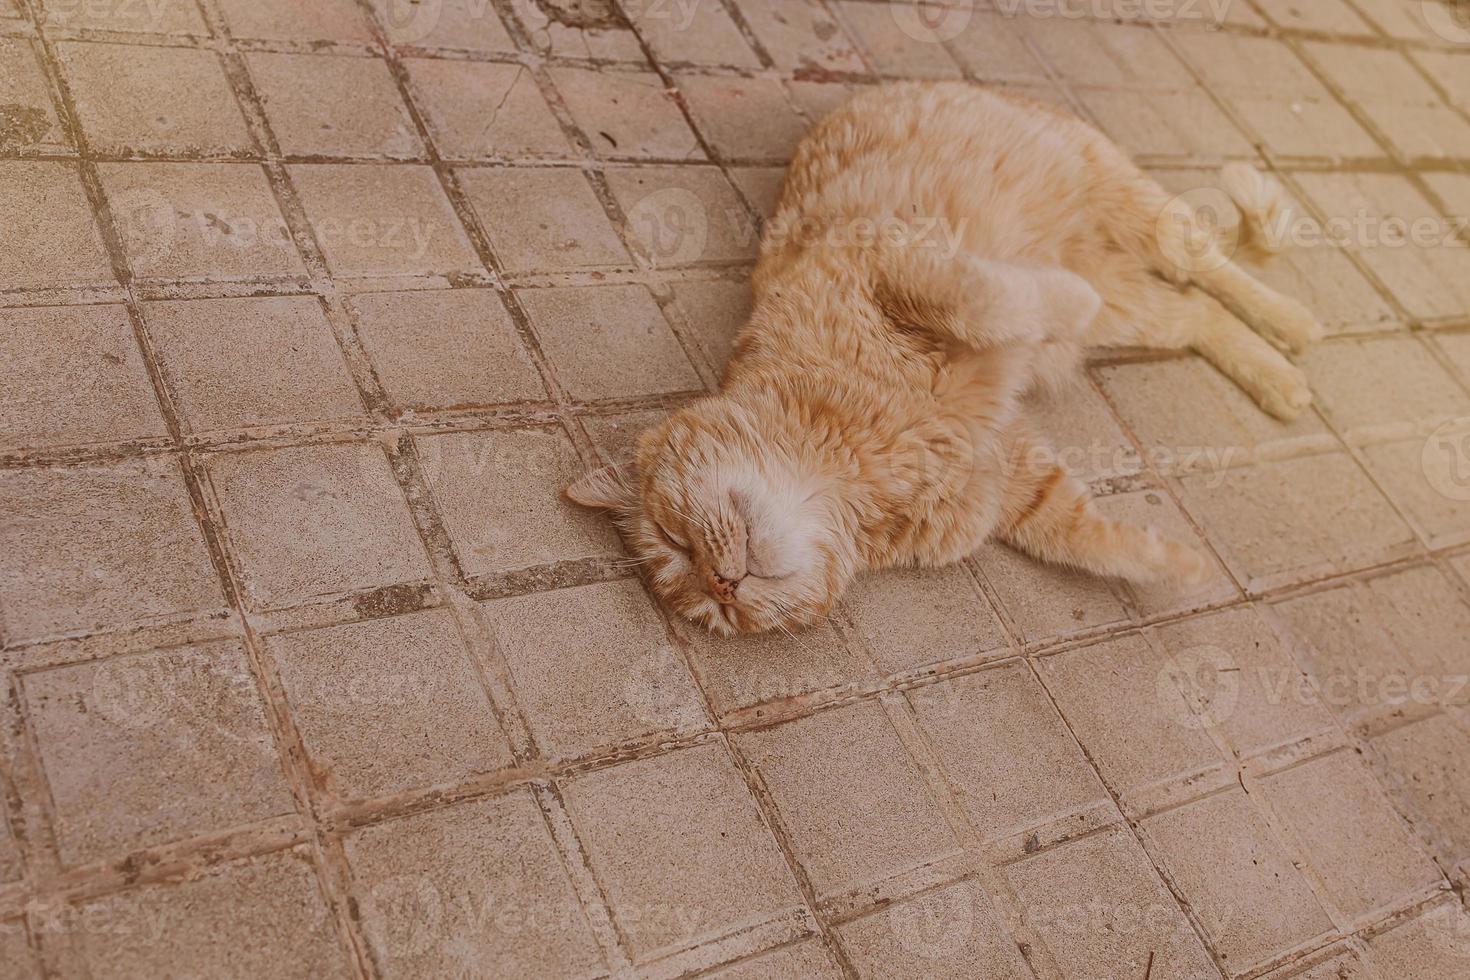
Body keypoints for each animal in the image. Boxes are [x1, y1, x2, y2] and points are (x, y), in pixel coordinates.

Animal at [564, 82, 1323, 637]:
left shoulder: (896, 262)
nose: (723, 581)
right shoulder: (1013, 482)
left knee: (1212, 268)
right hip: (1132, 306)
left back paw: (1294, 324)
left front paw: (1054, 299)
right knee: (1198, 314)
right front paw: (1183, 568)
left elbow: (988, 300)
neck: (855, 460)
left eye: (675, 539)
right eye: (709, 605)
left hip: (1139, 217)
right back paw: (1278, 375)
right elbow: (1093, 541)